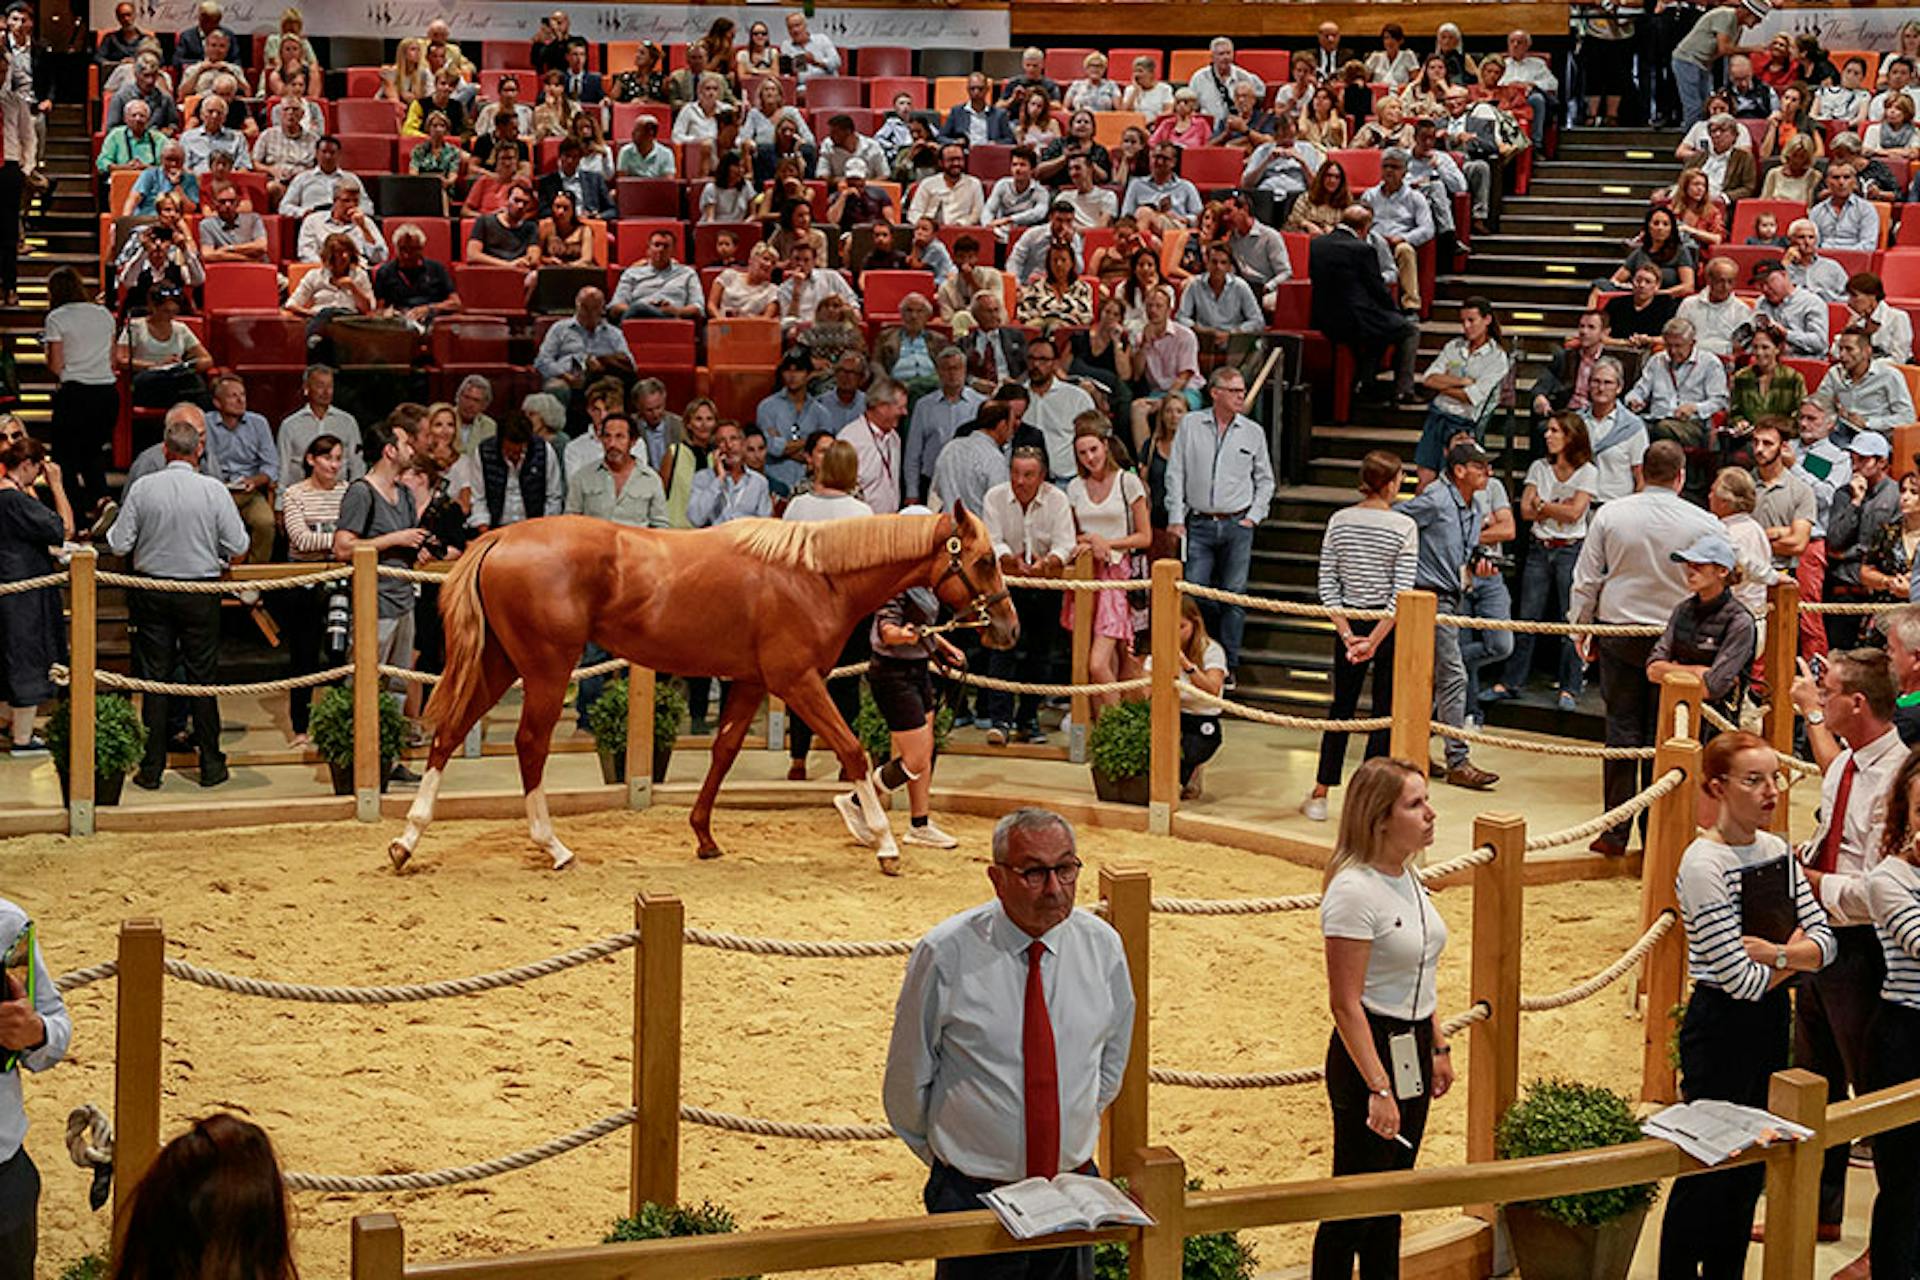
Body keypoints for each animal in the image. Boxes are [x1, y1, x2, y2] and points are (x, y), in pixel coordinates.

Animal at [388, 506, 1017, 872]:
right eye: (985, 559)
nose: (1009, 629)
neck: (815, 575)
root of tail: (498, 538)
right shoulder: (798, 683)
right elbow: (852, 750)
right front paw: (885, 845)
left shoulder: (750, 682)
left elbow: (723, 752)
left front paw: (704, 837)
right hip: (545, 668)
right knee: (529, 744)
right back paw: (554, 846)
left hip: (499, 664)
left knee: (449, 734)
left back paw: (407, 841)